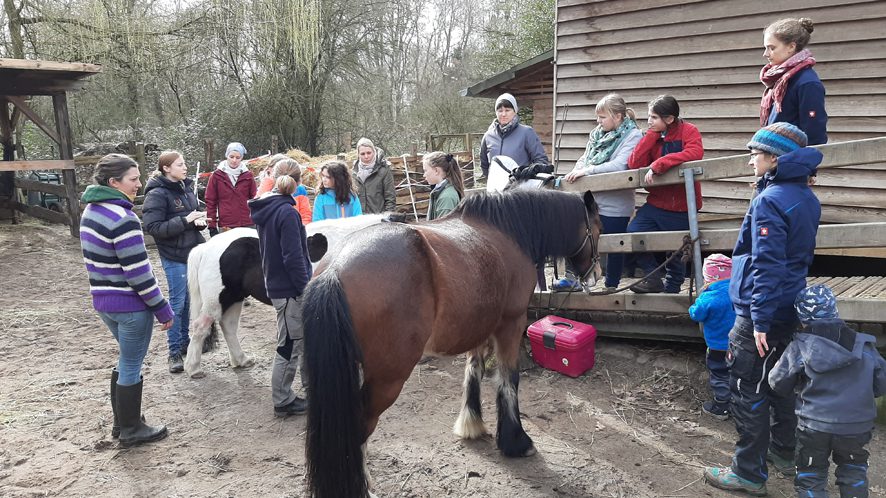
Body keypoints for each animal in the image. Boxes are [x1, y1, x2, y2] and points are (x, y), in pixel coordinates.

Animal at [184, 214, 398, 378]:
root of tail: (206, 248)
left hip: (234, 298)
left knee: (228, 326)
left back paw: (241, 360)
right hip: (216, 300)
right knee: (200, 328)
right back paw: (193, 368)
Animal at [304, 189, 604, 496]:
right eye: (598, 228)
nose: (595, 274)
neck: (507, 231)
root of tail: (336, 268)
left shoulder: (478, 326)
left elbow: (473, 371)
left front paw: (471, 424)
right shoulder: (511, 323)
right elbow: (508, 379)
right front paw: (517, 441)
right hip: (388, 377)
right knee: (360, 426)